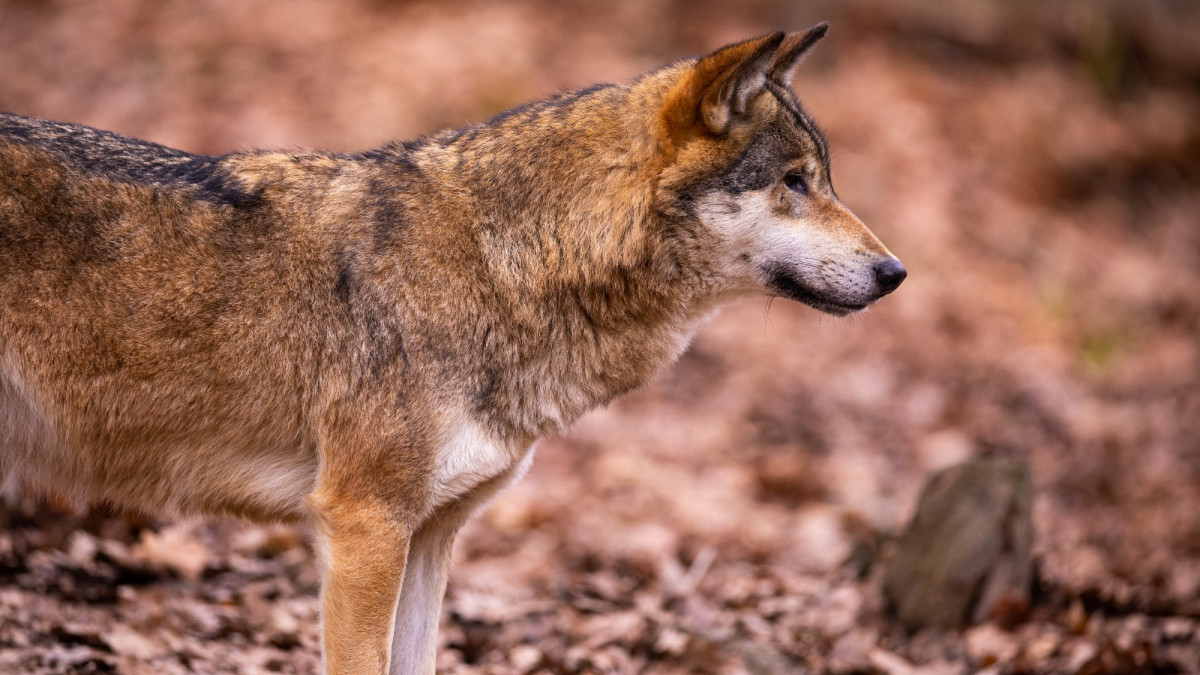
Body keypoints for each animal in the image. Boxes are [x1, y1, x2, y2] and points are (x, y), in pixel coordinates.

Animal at [0, 24, 903, 674]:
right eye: (794, 181)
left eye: (822, 176)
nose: (896, 272)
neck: (498, 262)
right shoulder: (364, 525)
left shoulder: (432, 535)